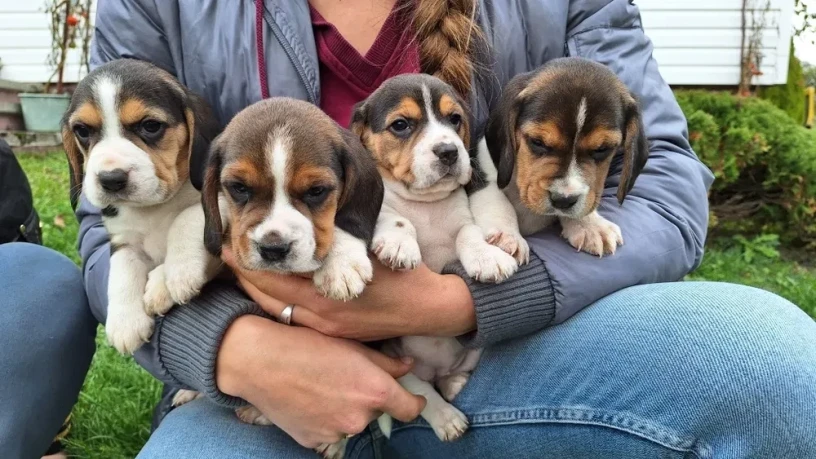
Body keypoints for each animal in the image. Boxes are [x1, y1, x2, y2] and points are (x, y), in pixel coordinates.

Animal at [62, 59, 220, 356]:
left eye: (150, 126)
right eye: (82, 131)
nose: (111, 179)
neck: (153, 206)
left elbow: (187, 216)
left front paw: (179, 272)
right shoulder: (123, 238)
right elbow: (122, 269)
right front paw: (125, 321)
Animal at [348, 74, 524, 446]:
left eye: (454, 119)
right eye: (401, 125)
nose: (449, 151)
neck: (425, 204)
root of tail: (435, 368)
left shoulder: (462, 220)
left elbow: (468, 235)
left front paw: (487, 258)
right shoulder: (378, 211)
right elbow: (394, 218)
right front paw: (400, 244)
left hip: (472, 350)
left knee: (448, 376)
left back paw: (454, 382)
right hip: (394, 363)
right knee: (423, 393)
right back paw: (447, 418)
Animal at [484, 56, 652, 255]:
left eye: (602, 149)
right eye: (538, 142)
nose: (563, 200)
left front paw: (590, 225)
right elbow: (499, 200)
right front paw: (507, 236)